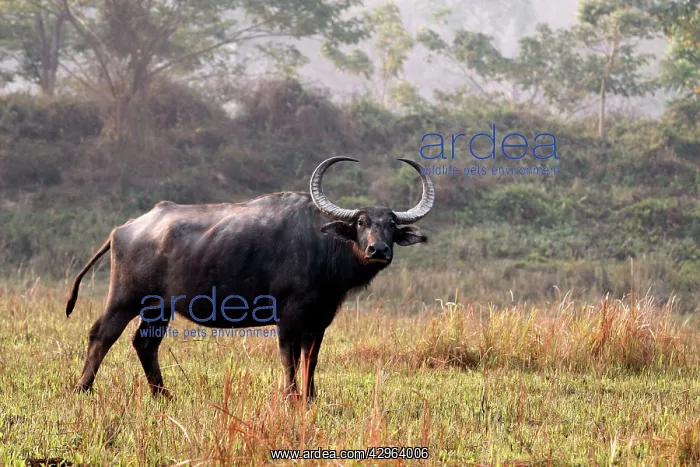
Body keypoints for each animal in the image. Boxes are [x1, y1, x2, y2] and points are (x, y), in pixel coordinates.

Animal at [66, 157, 434, 400]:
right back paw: (83, 388)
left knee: (145, 342)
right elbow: (289, 357)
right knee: (102, 334)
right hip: (126, 297)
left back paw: (163, 395)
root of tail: (123, 229)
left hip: (159, 307)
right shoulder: (289, 316)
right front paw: (290, 397)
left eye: (390, 225)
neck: (324, 244)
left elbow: (310, 358)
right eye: (360, 222)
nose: (378, 250)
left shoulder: (319, 320)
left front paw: (310, 398)